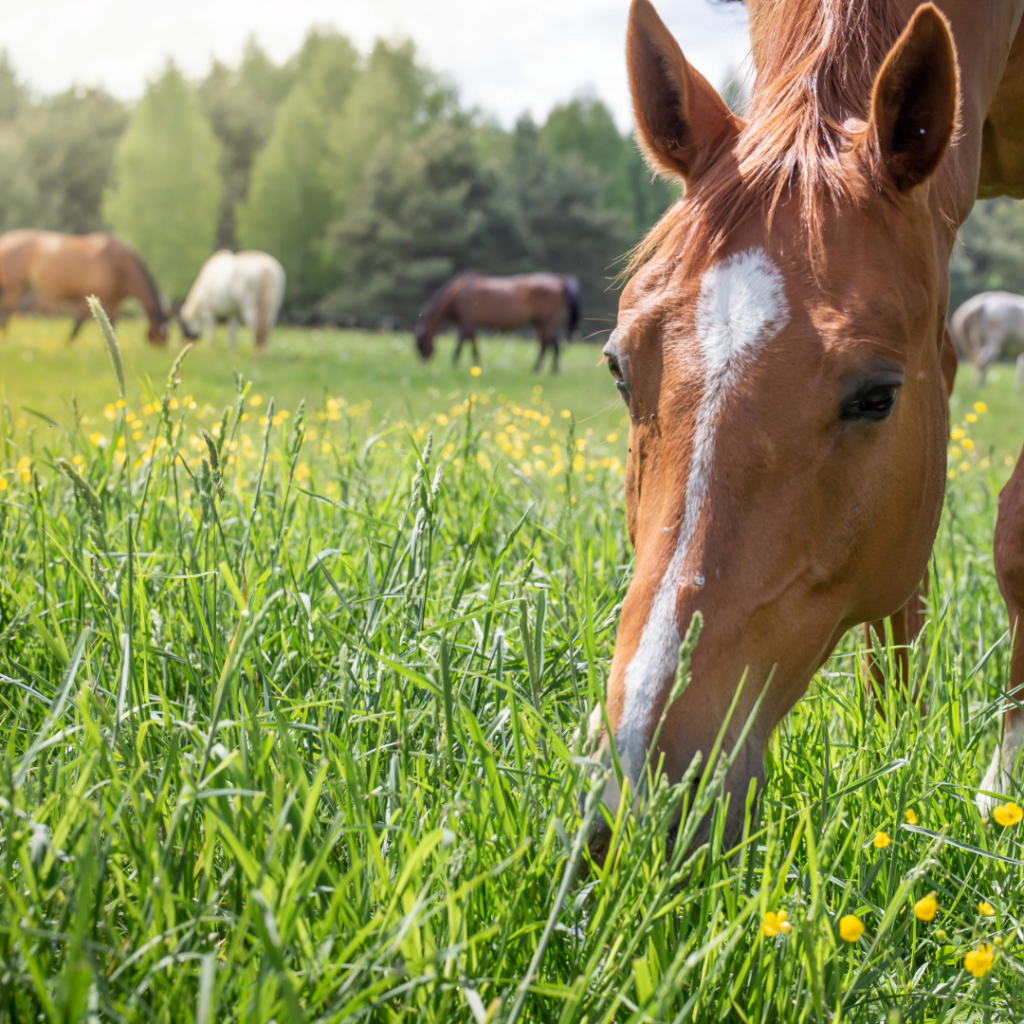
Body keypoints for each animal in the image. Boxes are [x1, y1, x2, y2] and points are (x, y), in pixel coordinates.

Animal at [0, 230, 167, 344]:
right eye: (162, 338)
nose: (160, 351)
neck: (118, 264)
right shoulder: (86, 297)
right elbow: (77, 325)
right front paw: (68, 346)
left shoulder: (113, 302)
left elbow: (112, 326)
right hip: (14, 287)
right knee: (7, 311)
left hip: (22, 287)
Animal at [413, 272, 580, 372]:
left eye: (423, 345)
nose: (422, 365)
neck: (457, 294)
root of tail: (558, 279)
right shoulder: (473, 324)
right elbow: (474, 344)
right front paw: (478, 364)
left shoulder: (468, 321)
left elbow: (461, 343)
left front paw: (454, 364)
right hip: (540, 321)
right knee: (547, 343)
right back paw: (541, 369)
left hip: (547, 320)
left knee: (552, 343)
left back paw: (548, 370)